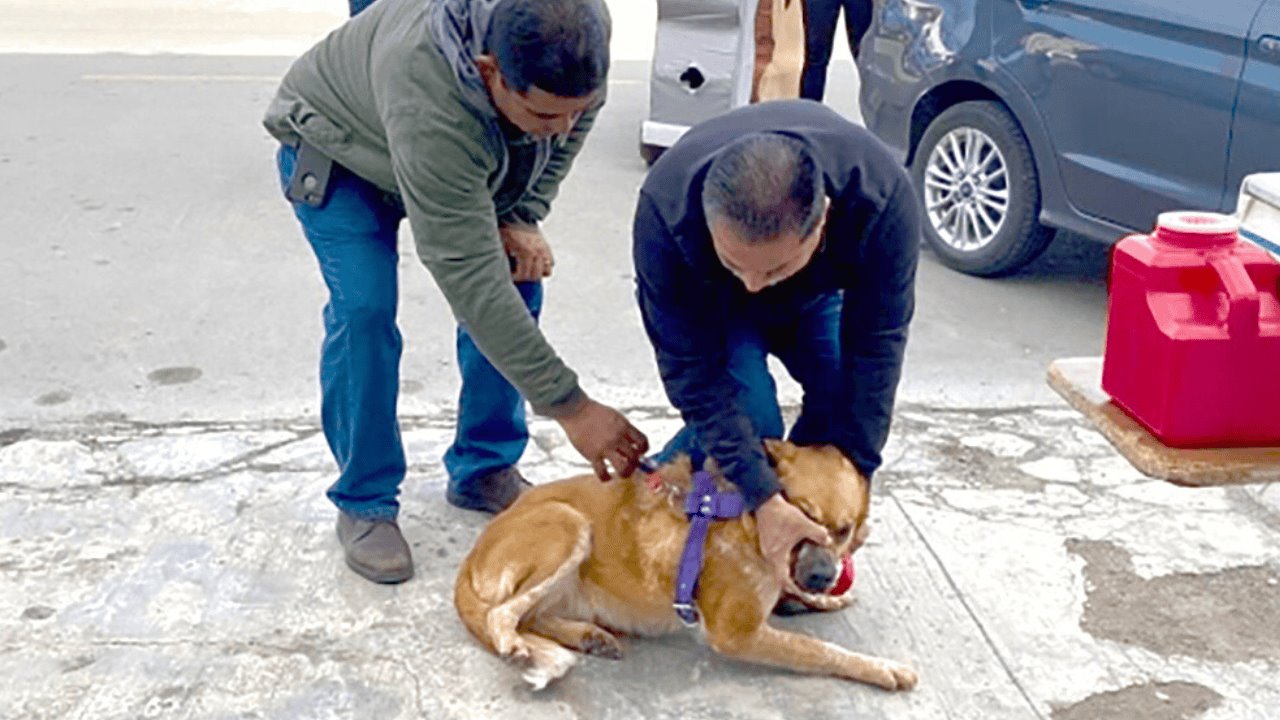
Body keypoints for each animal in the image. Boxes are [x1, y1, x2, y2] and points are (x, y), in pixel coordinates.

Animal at [455, 438, 916, 691]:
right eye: (802, 515)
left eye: (842, 530)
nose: (821, 578)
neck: (748, 514)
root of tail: (473, 554)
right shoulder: (737, 633)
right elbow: (822, 650)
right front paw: (882, 669)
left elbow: (795, 593)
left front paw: (824, 599)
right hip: (569, 525)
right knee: (502, 616)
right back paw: (521, 645)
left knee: (532, 615)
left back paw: (588, 636)